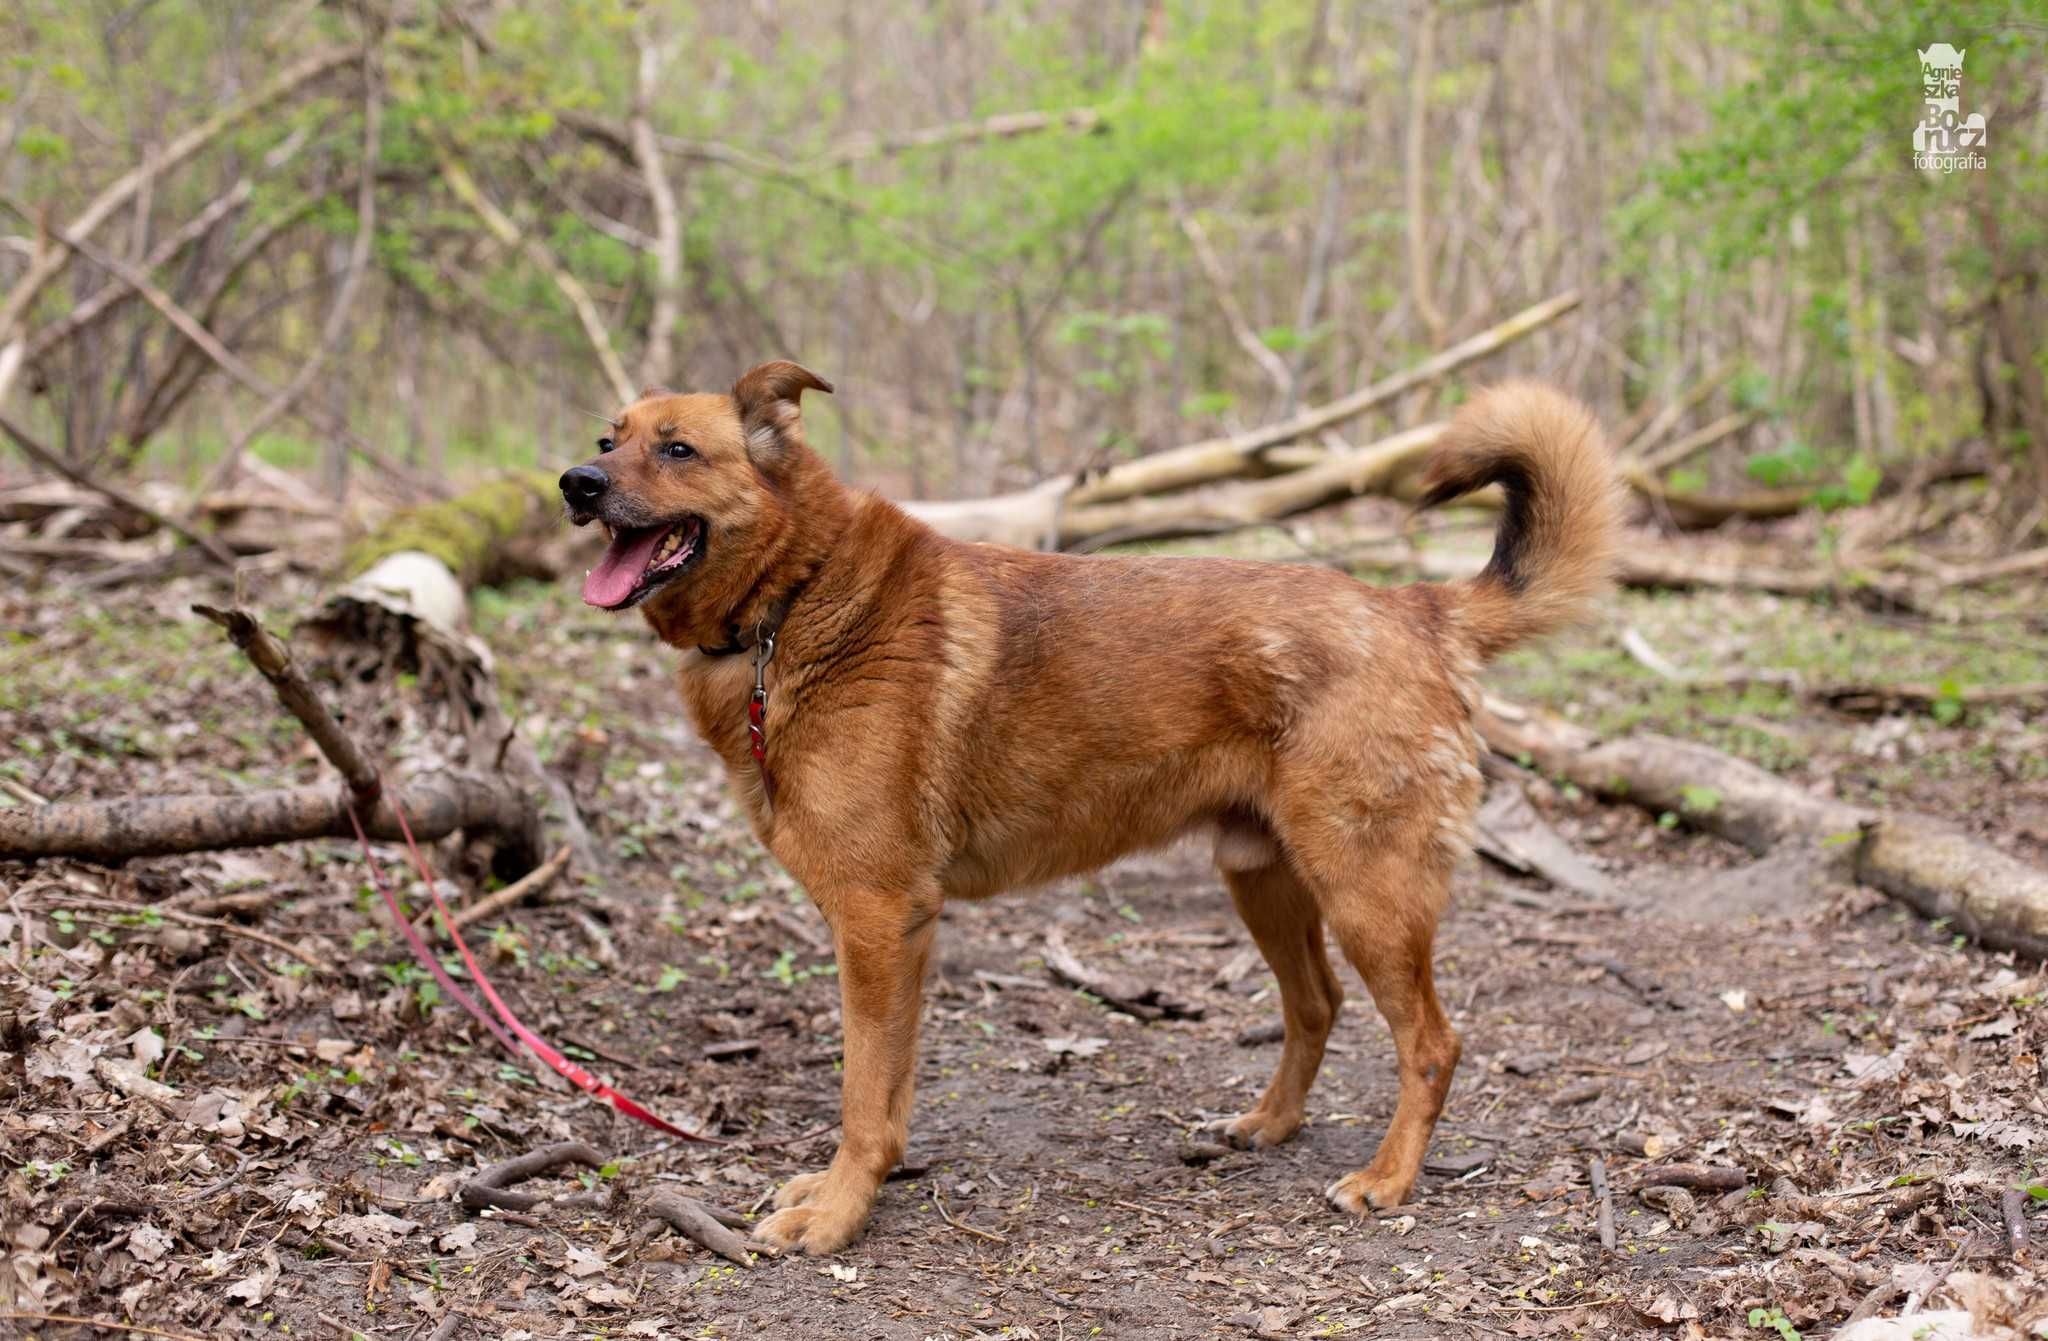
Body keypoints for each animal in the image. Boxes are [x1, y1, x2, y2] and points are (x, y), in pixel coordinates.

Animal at [561, 362, 1613, 1252]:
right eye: (611, 439)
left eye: (678, 449)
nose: (575, 481)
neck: (795, 597)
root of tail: (1417, 608)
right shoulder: (899, 932)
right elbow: (887, 1089)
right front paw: (859, 1189)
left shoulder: (876, 918)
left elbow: (861, 1095)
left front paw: (837, 1214)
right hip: (1263, 878)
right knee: (1316, 1003)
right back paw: (1267, 1124)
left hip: (1367, 894)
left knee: (1431, 1042)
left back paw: (1388, 1179)